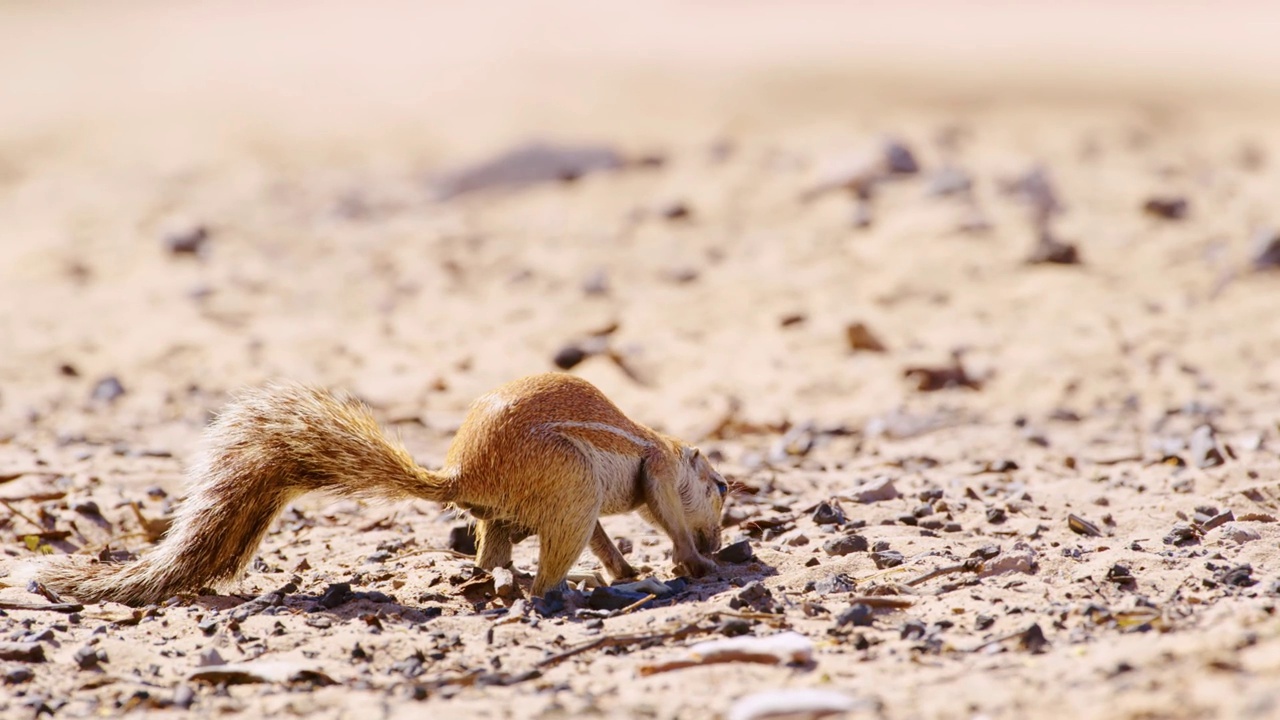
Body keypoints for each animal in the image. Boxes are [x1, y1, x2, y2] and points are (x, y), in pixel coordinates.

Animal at [32, 371, 732, 602]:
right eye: (723, 487)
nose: (722, 536)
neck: (664, 445)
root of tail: (462, 472)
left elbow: (610, 538)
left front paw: (628, 566)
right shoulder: (657, 473)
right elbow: (664, 518)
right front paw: (696, 563)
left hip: (523, 508)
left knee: (491, 558)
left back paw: (504, 581)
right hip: (573, 487)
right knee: (542, 574)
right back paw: (571, 589)